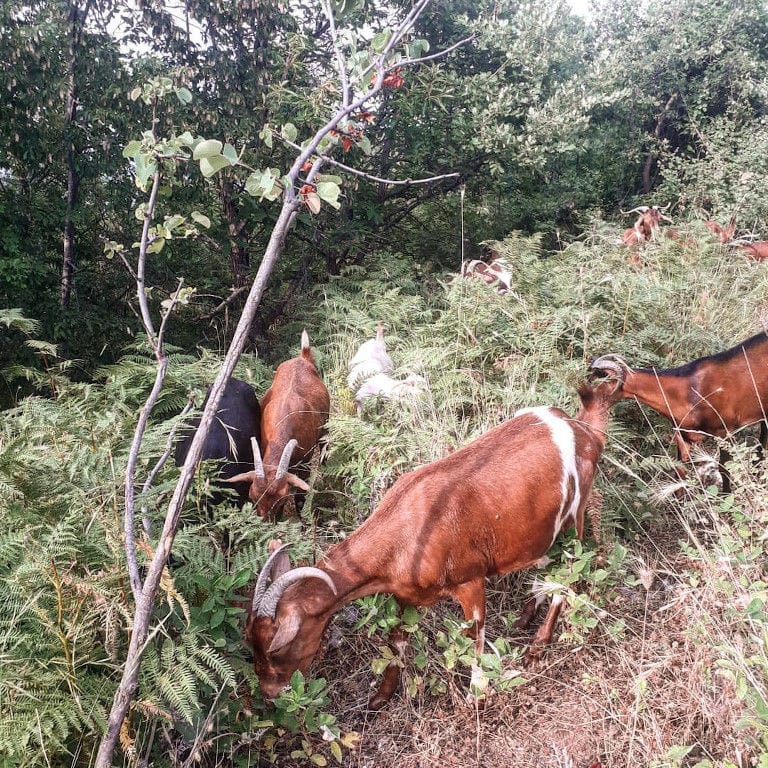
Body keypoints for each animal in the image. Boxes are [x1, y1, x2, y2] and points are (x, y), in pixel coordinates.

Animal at [225, 332, 328, 520]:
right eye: (253, 498)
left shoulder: (305, 462)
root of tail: (303, 357)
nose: (266, 522)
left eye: (281, 502)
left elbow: (300, 498)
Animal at [246, 376, 624, 708]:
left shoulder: (471, 581)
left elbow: (474, 640)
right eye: (251, 642)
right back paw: (526, 616)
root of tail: (585, 430)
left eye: (277, 649)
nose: (269, 694)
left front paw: (476, 698)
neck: (405, 531)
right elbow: (396, 640)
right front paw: (382, 697)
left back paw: (537, 647)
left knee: (569, 572)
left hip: (576, 516)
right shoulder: (405, 595)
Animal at [588, 334, 768, 492]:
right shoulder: (683, 435)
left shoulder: (724, 432)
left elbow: (724, 469)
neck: (689, 390)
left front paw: (726, 497)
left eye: (600, 383)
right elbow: (680, 471)